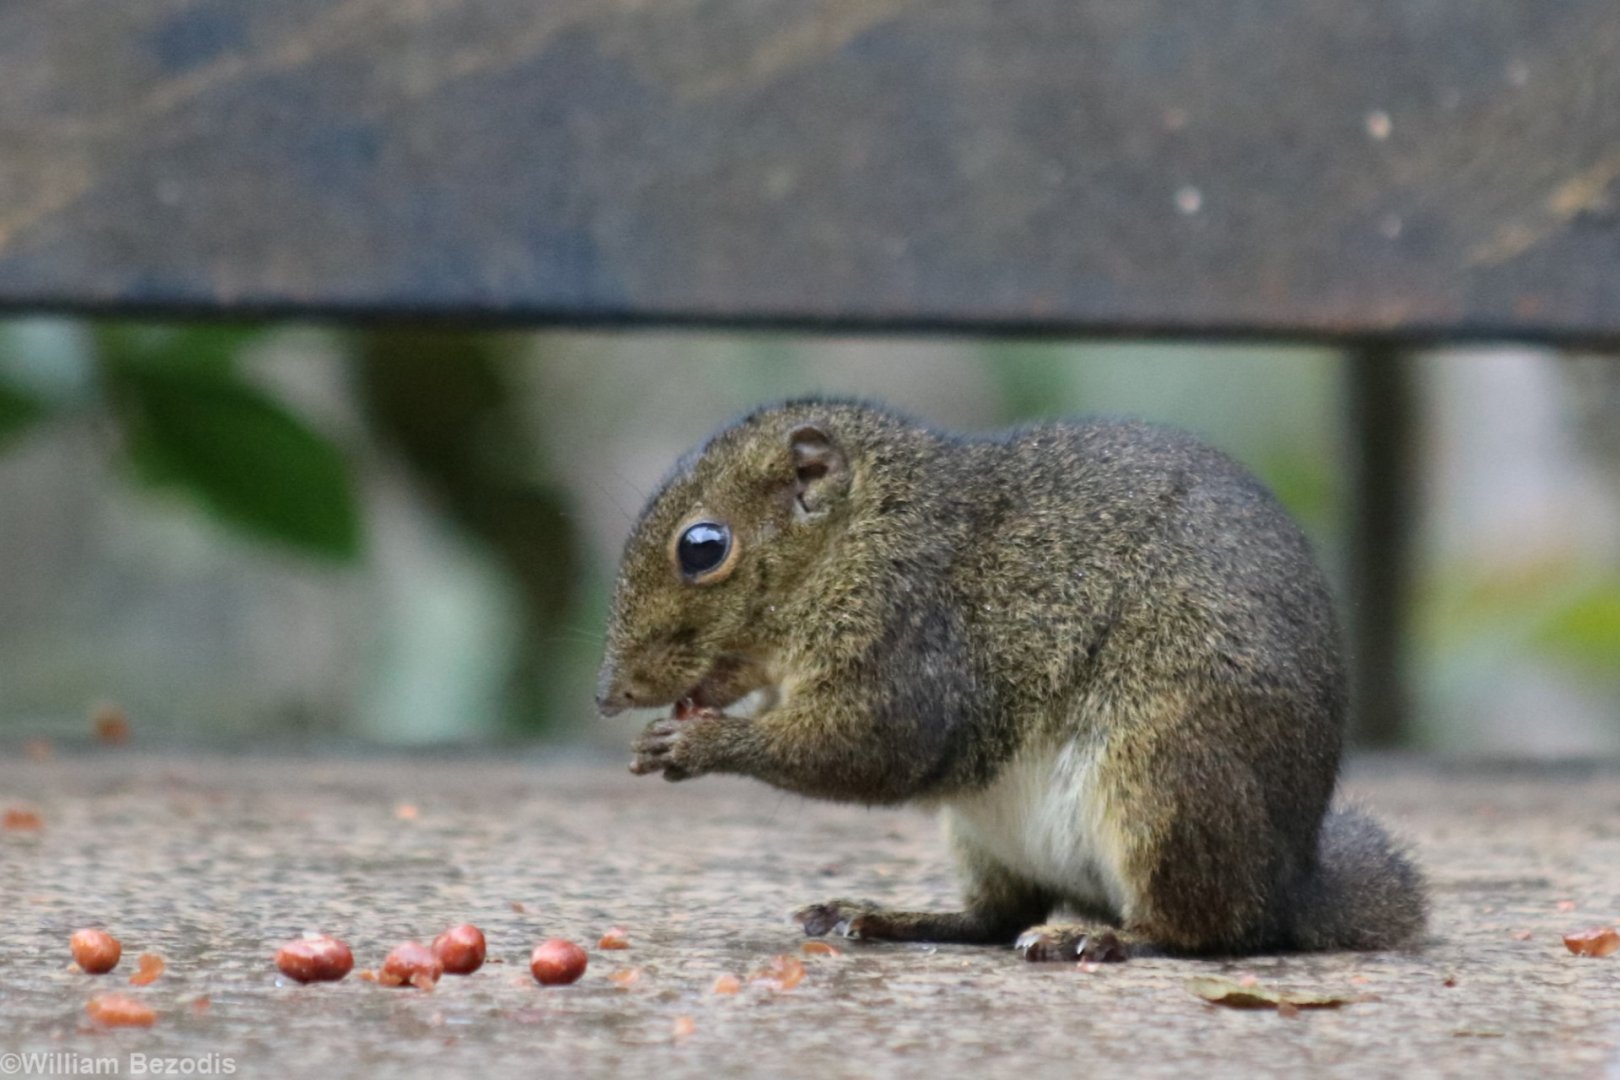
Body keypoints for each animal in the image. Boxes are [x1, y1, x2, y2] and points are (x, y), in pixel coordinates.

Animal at [596, 398, 1427, 960]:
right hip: (986, 835)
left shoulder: (914, 638)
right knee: (1000, 916)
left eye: (703, 547)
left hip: (1166, 779)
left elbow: (871, 750)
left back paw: (1105, 940)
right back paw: (896, 916)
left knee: (1212, 929)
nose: (608, 694)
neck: (862, 535)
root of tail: (1293, 880)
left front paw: (699, 747)